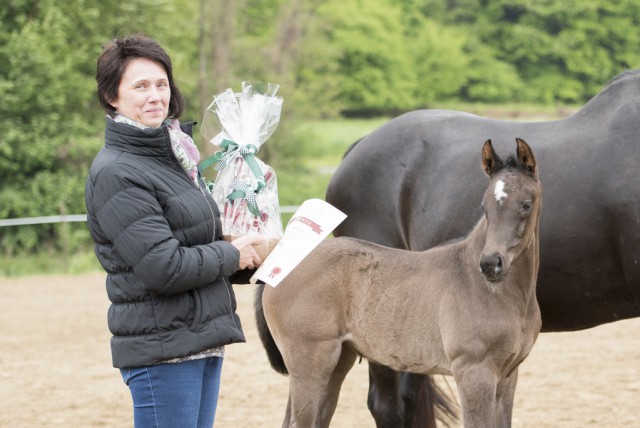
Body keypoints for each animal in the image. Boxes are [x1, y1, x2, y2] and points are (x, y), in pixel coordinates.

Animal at [262, 139, 544, 426]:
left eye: (526, 204)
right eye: (484, 207)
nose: (490, 264)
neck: (491, 291)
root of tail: (277, 263)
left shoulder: (507, 376)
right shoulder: (474, 371)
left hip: (336, 362)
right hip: (310, 363)